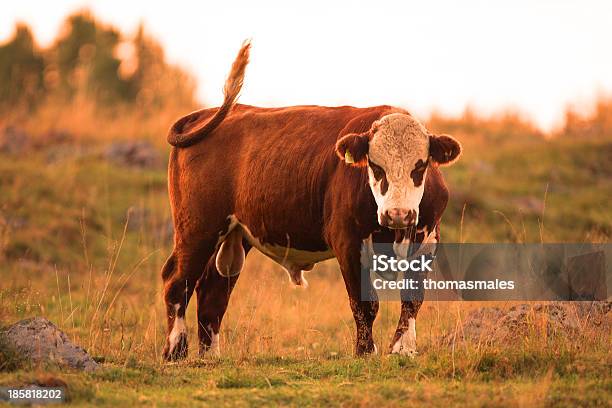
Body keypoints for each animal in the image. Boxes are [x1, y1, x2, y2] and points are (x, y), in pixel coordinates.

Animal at [161, 42, 460, 360]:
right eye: (375, 166)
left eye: (420, 166)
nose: (398, 213)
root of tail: (207, 114)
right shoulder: (347, 242)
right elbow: (365, 304)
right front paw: (366, 351)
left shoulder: (427, 241)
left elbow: (412, 299)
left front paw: (404, 348)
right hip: (197, 228)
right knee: (177, 281)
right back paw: (175, 351)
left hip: (234, 233)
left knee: (213, 291)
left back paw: (210, 356)